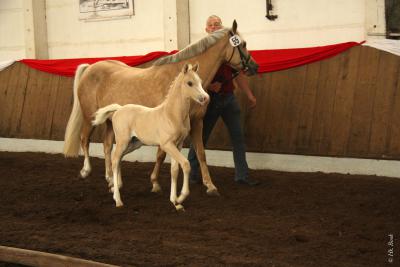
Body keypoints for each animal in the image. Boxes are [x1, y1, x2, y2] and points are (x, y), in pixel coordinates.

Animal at [92, 63, 208, 210]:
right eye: (190, 83)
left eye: (200, 82)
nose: (205, 98)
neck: (172, 115)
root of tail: (119, 109)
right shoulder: (167, 144)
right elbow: (185, 164)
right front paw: (181, 197)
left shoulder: (178, 145)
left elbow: (174, 170)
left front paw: (175, 202)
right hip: (122, 141)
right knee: (115, 159)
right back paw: (118, 200)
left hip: (133, 143)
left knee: (118, 159)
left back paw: (115, 187)